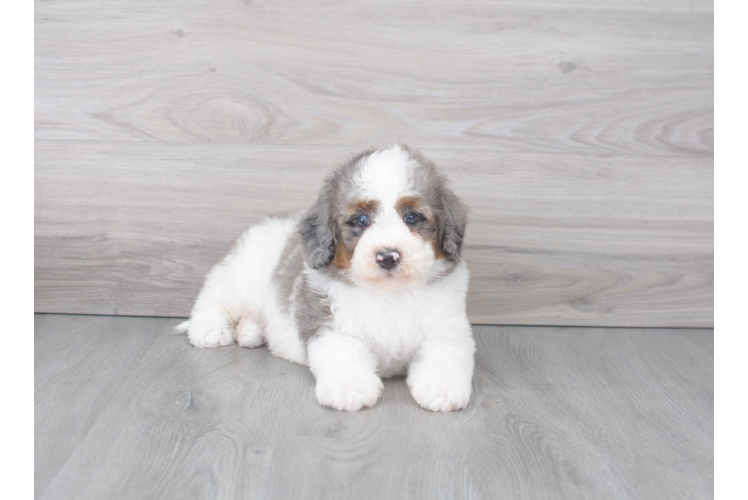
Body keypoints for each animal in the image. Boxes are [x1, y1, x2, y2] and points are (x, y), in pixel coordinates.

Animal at [177, 146, 474, 412]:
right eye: (361, 220)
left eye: (411, 217)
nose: (387, 256)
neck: (388, 293)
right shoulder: (329, 322)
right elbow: (343, 352)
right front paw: (349, 387)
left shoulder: (447, 327)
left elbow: (444, 355)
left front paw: (442, 388)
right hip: (244, 273)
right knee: (214, 294)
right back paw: (210, 328)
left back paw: (250, 331)